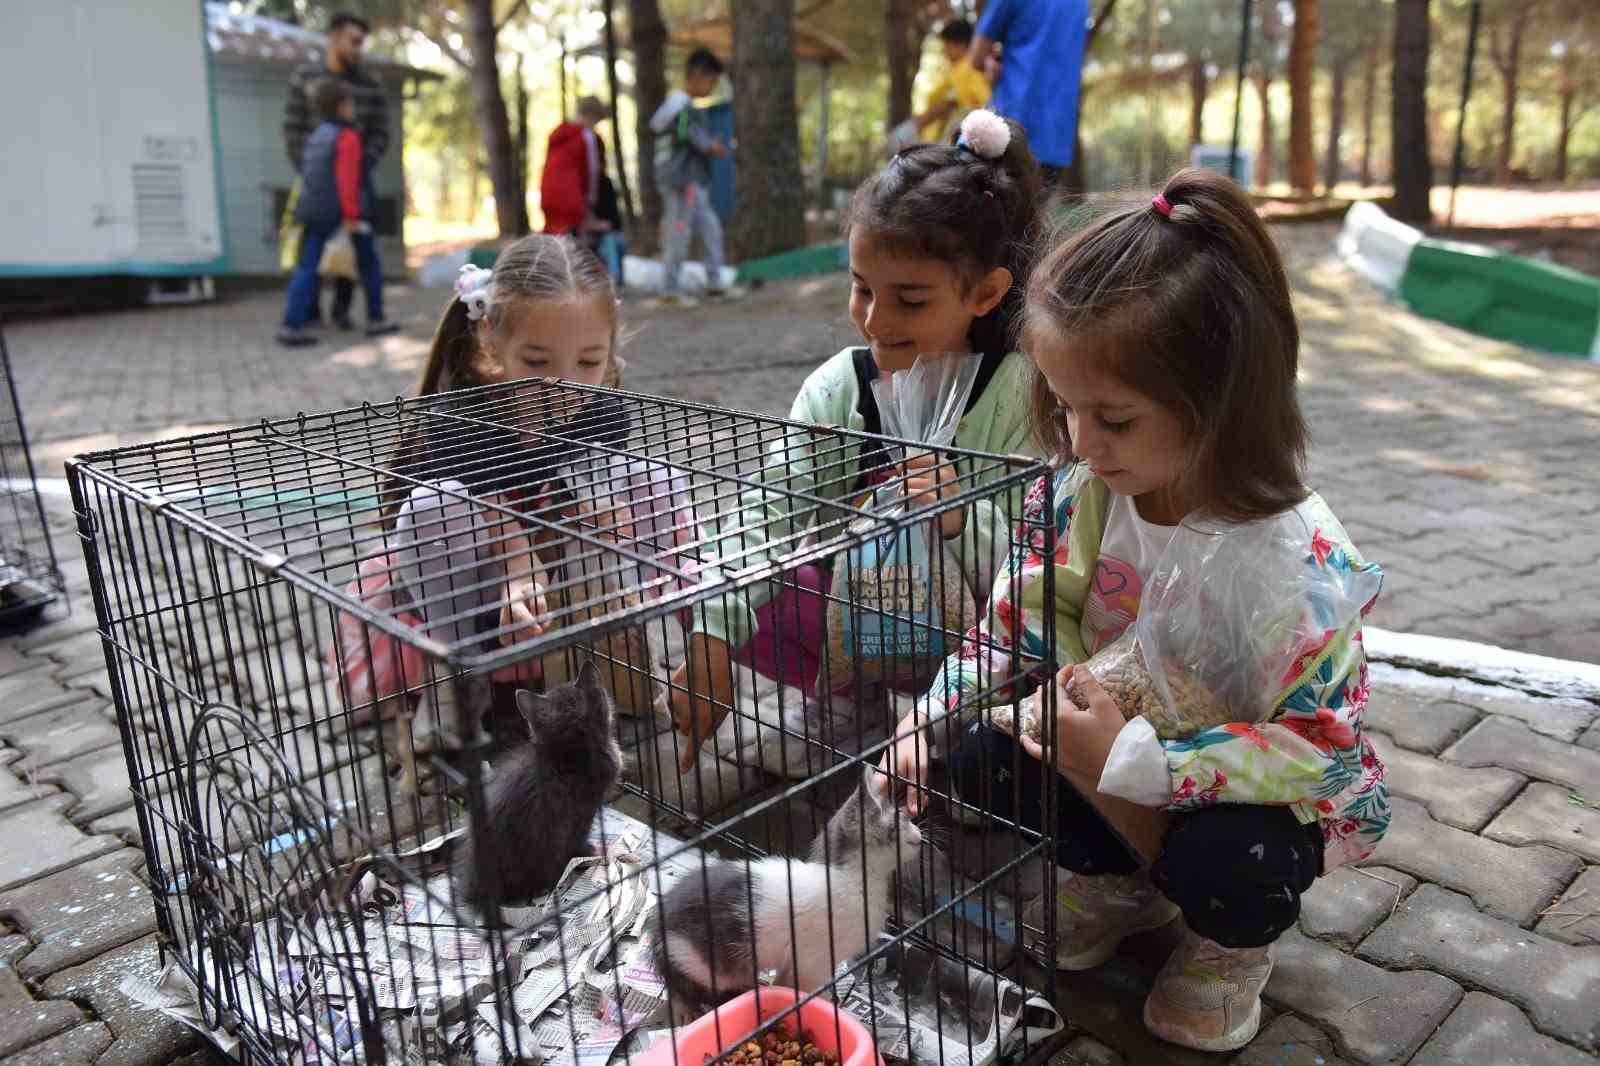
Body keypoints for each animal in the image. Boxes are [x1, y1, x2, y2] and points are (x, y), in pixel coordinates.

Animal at [652, 765, 928, 1011]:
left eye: (905, 816)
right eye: (897, 824)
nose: (919, 836)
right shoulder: (813, 961)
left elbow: (784, 982)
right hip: (707, 962)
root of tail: (657, 930)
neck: (850, 877)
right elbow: (800, 989)